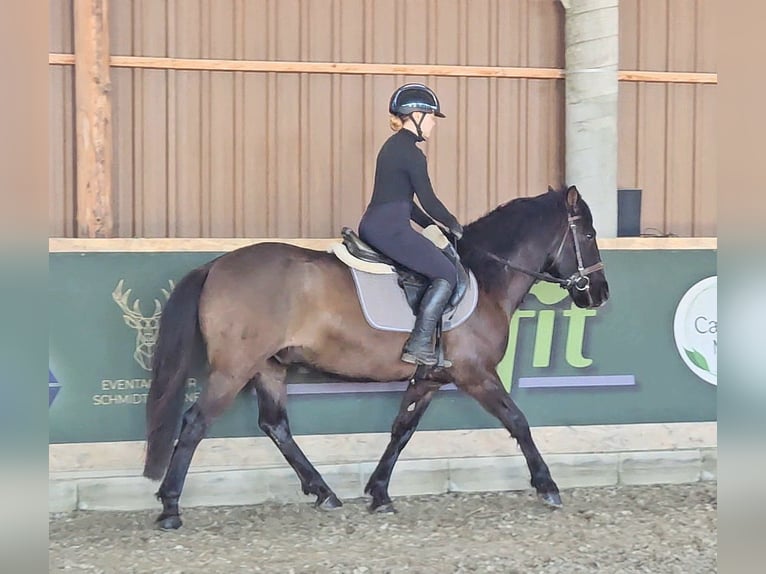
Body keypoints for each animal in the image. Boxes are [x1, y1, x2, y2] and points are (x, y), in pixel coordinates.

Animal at [144, 184, 612, 532]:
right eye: (588, 235)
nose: (599, 294)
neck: (486, 278)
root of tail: (217, 264)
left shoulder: (428, 378)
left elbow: (402, 430)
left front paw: (380, 492)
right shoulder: (475, 374)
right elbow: (517, 420)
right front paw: (547, 486)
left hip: (268, 366)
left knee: (275, 425)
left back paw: (324, 492)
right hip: (234, 369)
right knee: (195, 423)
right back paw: (170, 508)